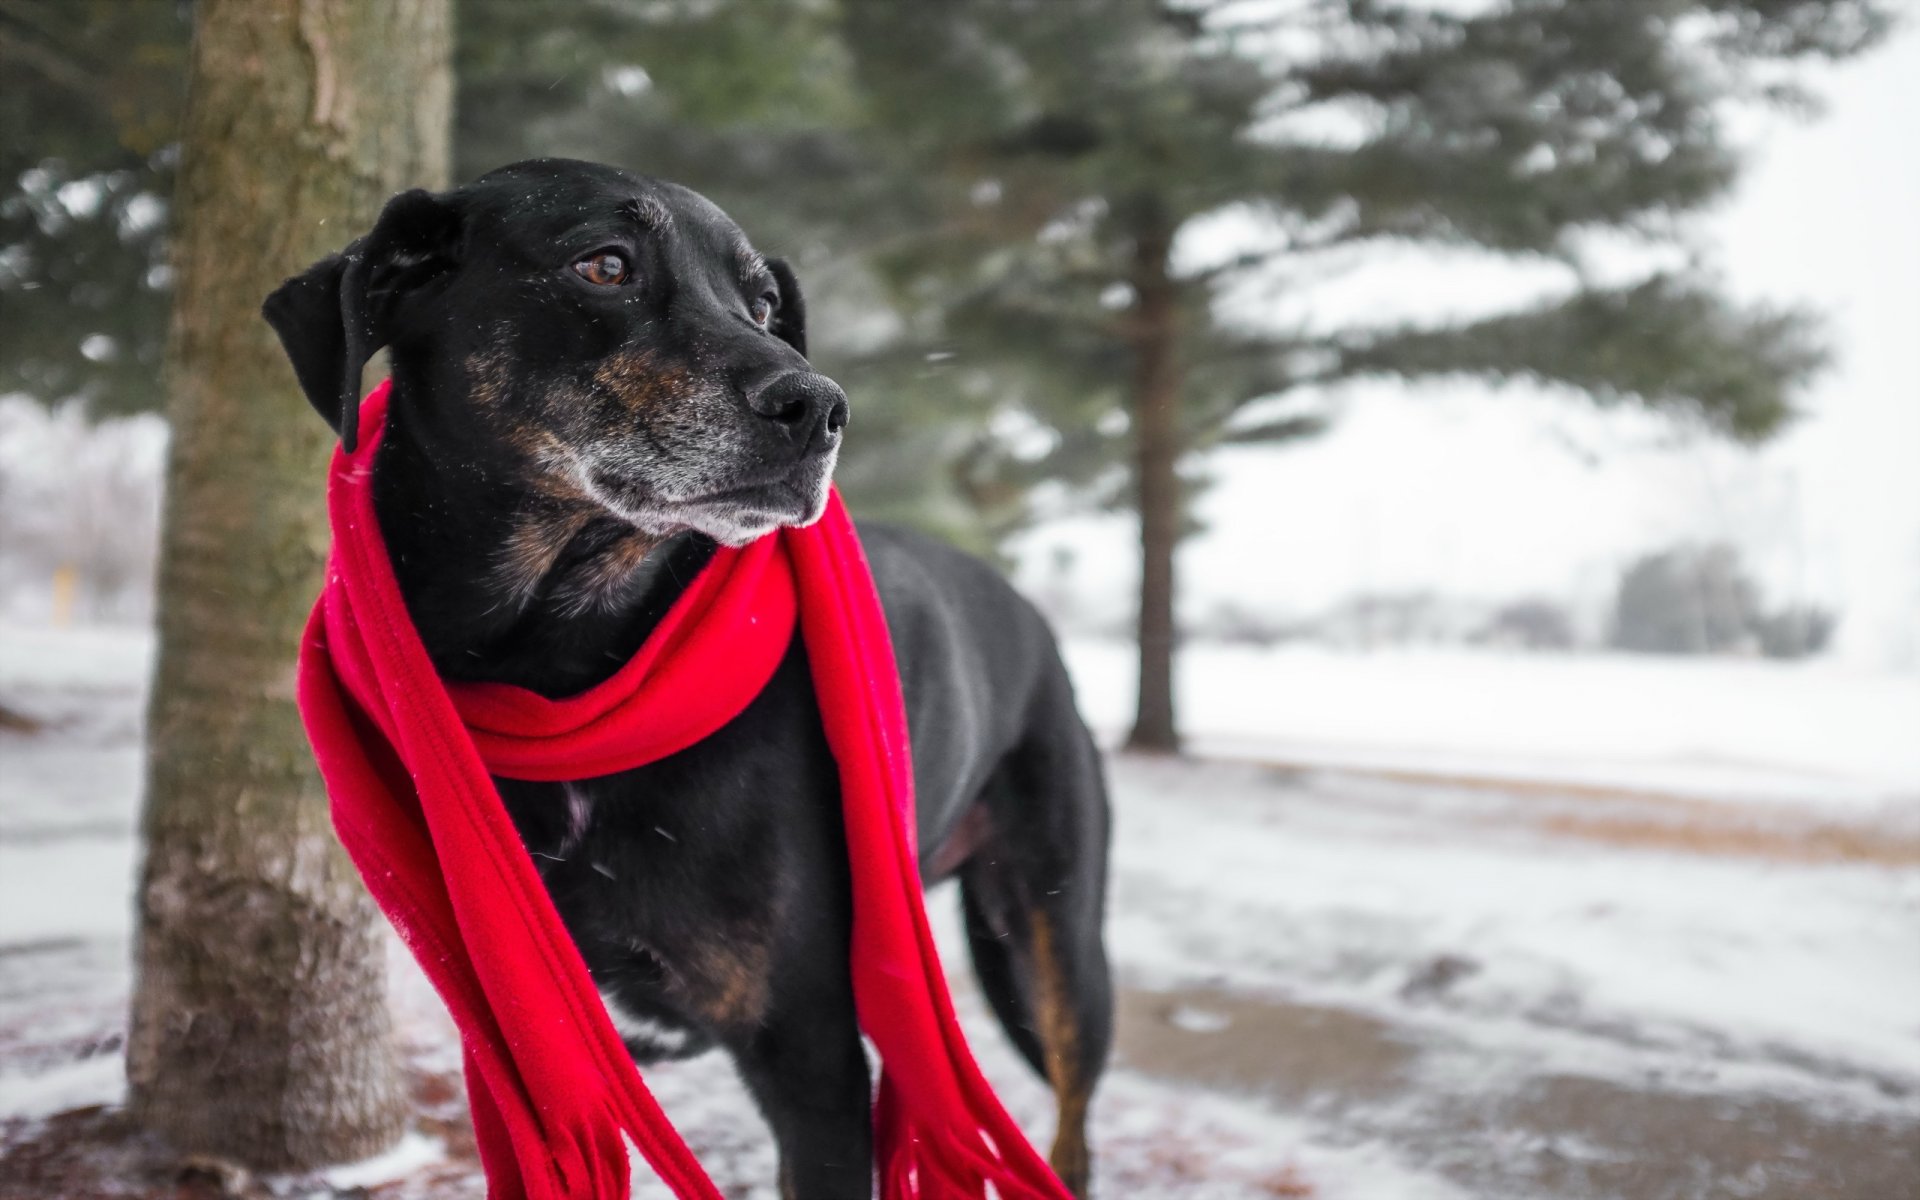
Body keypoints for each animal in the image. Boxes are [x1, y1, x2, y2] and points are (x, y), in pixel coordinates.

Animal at [263, 161, 1121, 1198]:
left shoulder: (812, 1057)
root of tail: (1026, 606)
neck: (561, 667)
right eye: (604, 264)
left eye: (764, 305)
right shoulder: (520, 1054)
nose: (820, 408)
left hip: (1052, 944)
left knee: (1072, 1122)